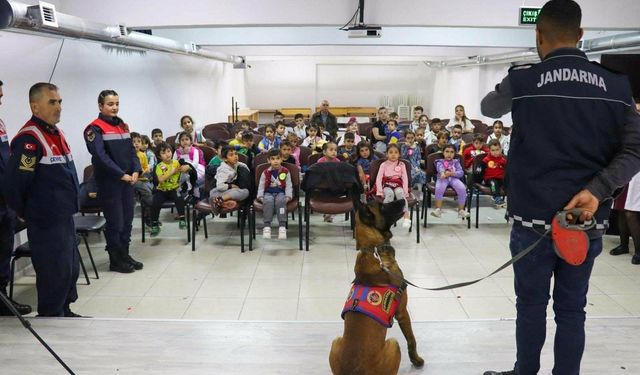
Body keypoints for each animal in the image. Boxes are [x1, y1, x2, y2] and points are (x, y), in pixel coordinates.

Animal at [330, 198, 424, 374]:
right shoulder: (402, 312)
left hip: (335, 341)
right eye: (382, 206)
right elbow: (411, 339)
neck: (374, 250)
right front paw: (416, 360)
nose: (404, 199)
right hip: (393, 344)